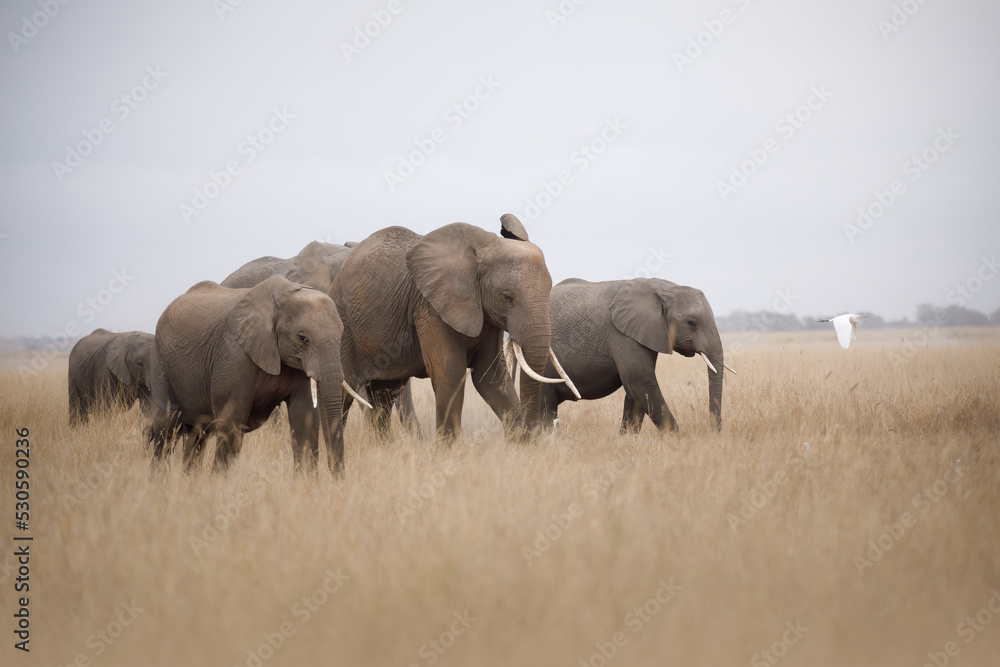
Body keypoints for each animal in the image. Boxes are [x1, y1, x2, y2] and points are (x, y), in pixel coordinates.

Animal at [147, 275, 365, 473]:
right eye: (302, 338)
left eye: (340, 336)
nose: (338, 480)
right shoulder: (233, 355)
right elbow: (232, 421)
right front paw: (220, 485)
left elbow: (304, 418)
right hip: (160, 363)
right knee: (165, 428)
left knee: (198, 435)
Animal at [330, 215, 576, 440]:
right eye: (507, 297)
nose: (537, 434)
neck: (483, 249)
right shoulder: (430, 305)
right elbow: (451, 371)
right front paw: (449, 451)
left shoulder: (484, 315)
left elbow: (490, 375)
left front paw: (522, 446)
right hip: (344, 327)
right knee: (343, 390)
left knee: (384, 396)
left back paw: (384, 448)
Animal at [535, 278, 735, 434]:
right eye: (692, 323)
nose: (713, 432)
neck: (664, 288)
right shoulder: (622, 335)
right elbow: (641, 382)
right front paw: (679, 440)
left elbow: (634, 391)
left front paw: (626, 440)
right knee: (544, 402)